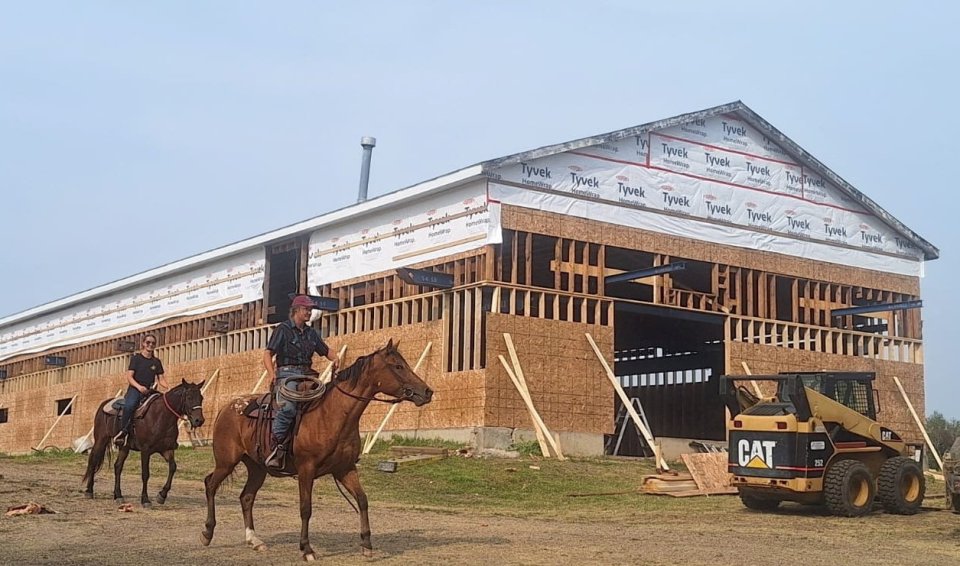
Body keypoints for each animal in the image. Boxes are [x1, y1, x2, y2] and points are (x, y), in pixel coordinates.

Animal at [81, 380, 206, 508]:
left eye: (201, 398)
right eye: (189, 397)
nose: (199, 420)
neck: (161, 416)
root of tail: (104, 404)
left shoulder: (166, 449)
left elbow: (173, 468)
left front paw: (162, 495)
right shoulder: (146, 450)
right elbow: (145, 474)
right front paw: (145, 500)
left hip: (124, 447)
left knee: (117, 466)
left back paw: (118, 495)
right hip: (101, 440)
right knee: (93, 461)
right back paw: (89, 491)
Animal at [202, 340, 436, 560]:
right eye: (398, 366)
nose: (427, 391)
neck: (332, 415)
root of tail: (226, 408)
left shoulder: (345, 469)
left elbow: (362, 500)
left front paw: (367, 545)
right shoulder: (307, 470)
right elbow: (306, 508)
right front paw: (306, 549)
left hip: (257, 467)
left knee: (247, 497)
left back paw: (254, 540)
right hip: (226, 462)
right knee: (210, 485)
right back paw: (207, 533)